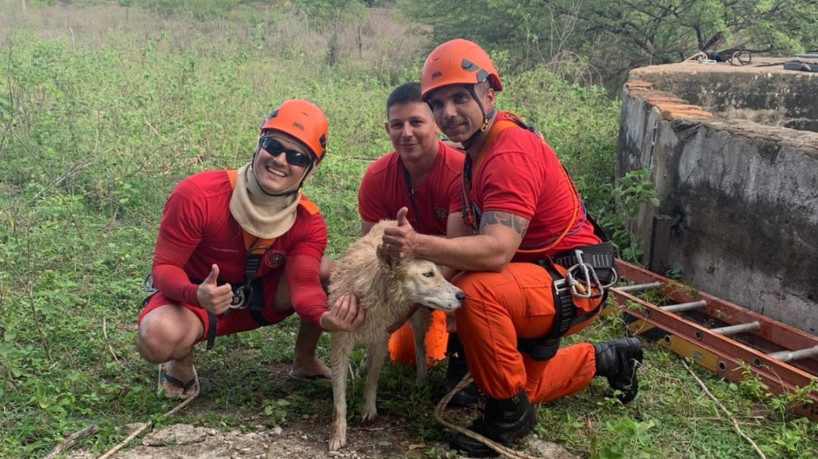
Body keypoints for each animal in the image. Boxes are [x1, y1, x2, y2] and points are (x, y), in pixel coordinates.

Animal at [326, 220, 466, 452]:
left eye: (438, 272)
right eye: (428, 274)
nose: (462, 295)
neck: (373, 294)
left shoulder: (382, 339)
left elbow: (372, 379)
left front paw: (369, 409)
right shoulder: (340, 341)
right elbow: (339, 400)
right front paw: (338, 435)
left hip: (418, 320)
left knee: (420, 348)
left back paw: (421, 380)